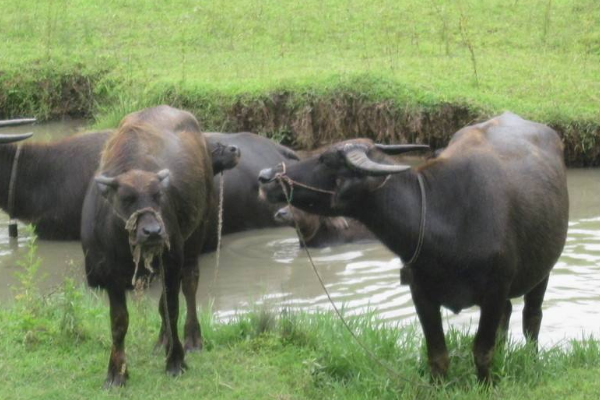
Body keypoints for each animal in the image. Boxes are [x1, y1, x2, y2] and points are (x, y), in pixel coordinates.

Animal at [81, 104, 214, 386]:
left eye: (157, 196)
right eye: (126, 198)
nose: (153, 232)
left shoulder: (173, 259)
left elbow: (173, 308)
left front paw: (176, 360)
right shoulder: (108, 272)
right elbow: (119, 320)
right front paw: (116, 371)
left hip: (197, 232)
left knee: (190, 283)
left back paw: (192, 337)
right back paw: (163, 340)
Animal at [258, 111, 568, 382]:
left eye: (325, 159)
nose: (264, 176)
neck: (444, 218)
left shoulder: (494, 290)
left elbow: (482, 350)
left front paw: (486, 384)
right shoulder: (421, 294)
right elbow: (438, 355)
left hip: (542, 272)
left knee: (531, 318)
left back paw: (531, 358)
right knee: (509, 314)